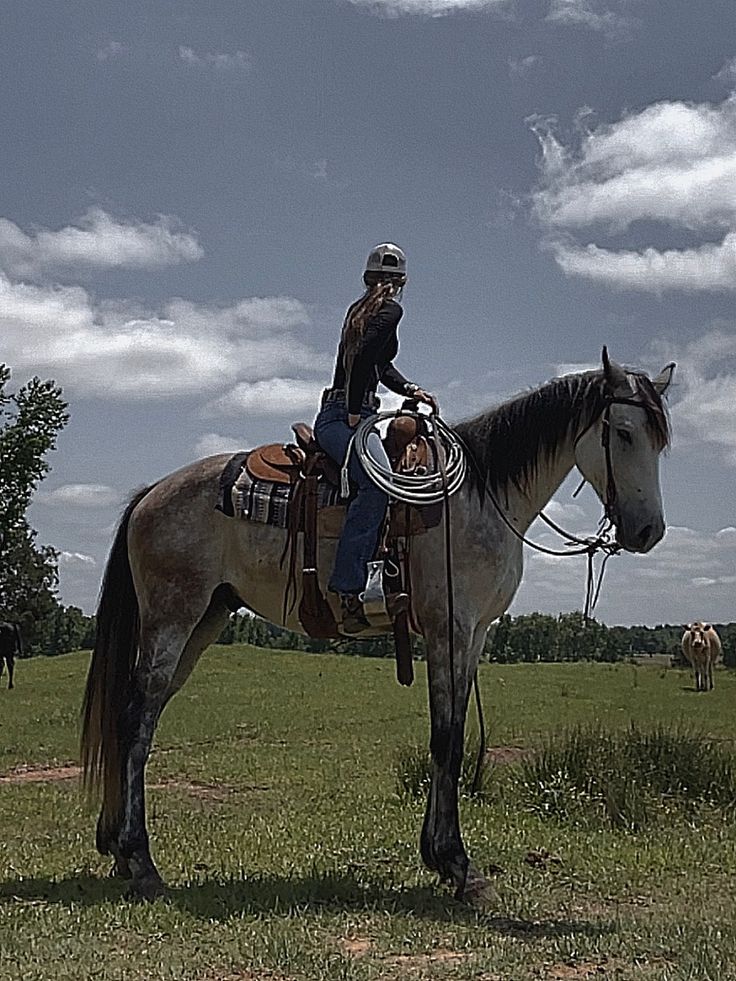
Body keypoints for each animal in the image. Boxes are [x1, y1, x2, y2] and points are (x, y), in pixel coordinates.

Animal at [79, 354, 672, 904]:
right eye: (622, 432)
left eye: (660, 441)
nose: (649, 531)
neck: (480, 498)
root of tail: (152, 492)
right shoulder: (449, 629)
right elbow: (446, 739)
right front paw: (457, 865)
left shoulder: (475, 634)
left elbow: (452, 735)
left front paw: (441, 859)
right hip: (172, 618)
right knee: (135, 718)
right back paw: (141, 861)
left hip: (202, 621)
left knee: (139, 718)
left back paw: (119, 851)